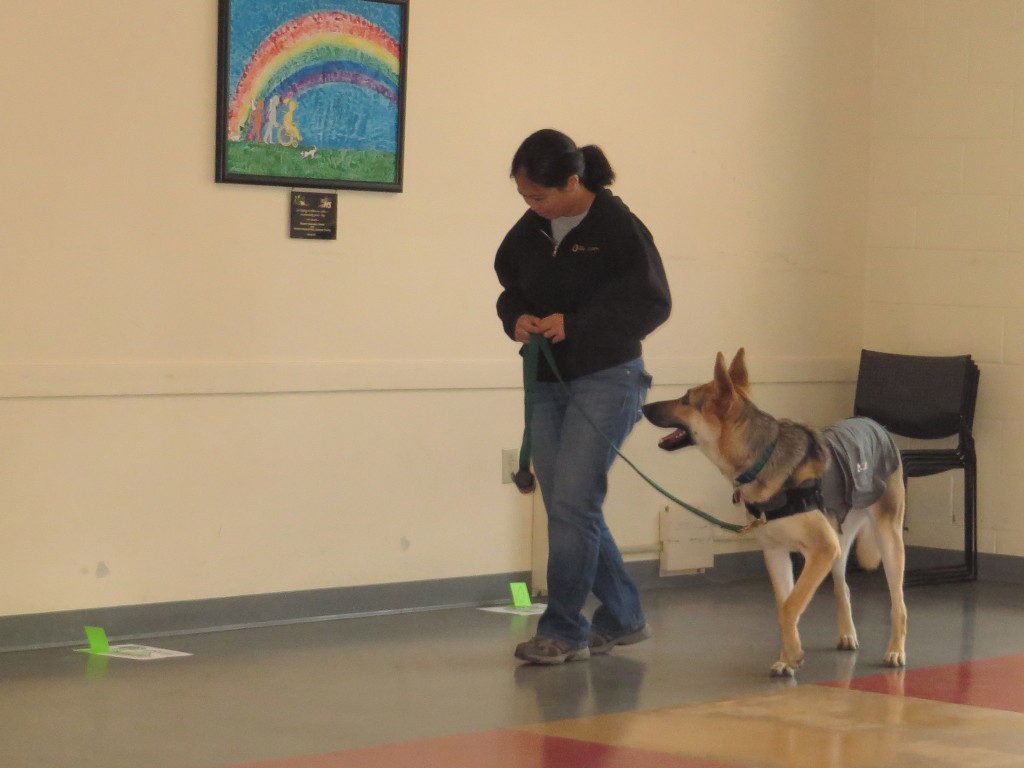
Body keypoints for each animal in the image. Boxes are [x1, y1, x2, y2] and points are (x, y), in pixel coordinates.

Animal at [643, 350, 909, 679]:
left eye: (685, 399)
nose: (643, 406)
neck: (761, 459)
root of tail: (875, 424)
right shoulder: (778, 553)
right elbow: (785, 607)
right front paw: (786, 658)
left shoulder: (821, 550)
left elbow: (789, 607)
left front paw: (793, 654)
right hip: (839, 545)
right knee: (842, 588)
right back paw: (847, 634)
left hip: (887, 541)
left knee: (899, 604)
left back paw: (895, 650)